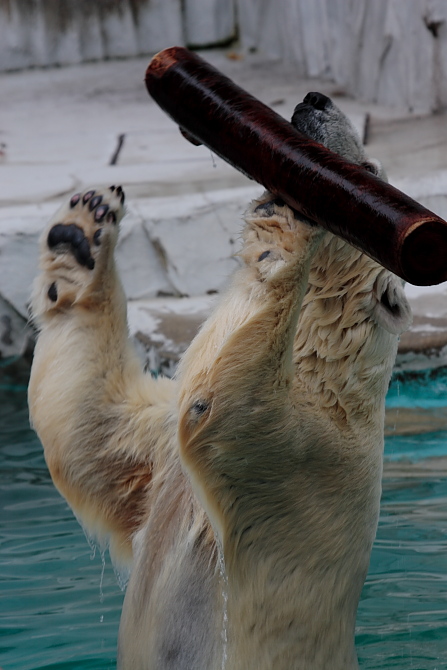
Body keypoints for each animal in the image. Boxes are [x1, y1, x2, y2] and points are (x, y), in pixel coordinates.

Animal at [28, 94, 412, 670]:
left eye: (368, 170)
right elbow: (93, 427)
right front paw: (82, 231)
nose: (316, 99)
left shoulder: (313, 460)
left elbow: (228, 411)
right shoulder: (157, 451)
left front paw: (285, 226)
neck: (320, 378)